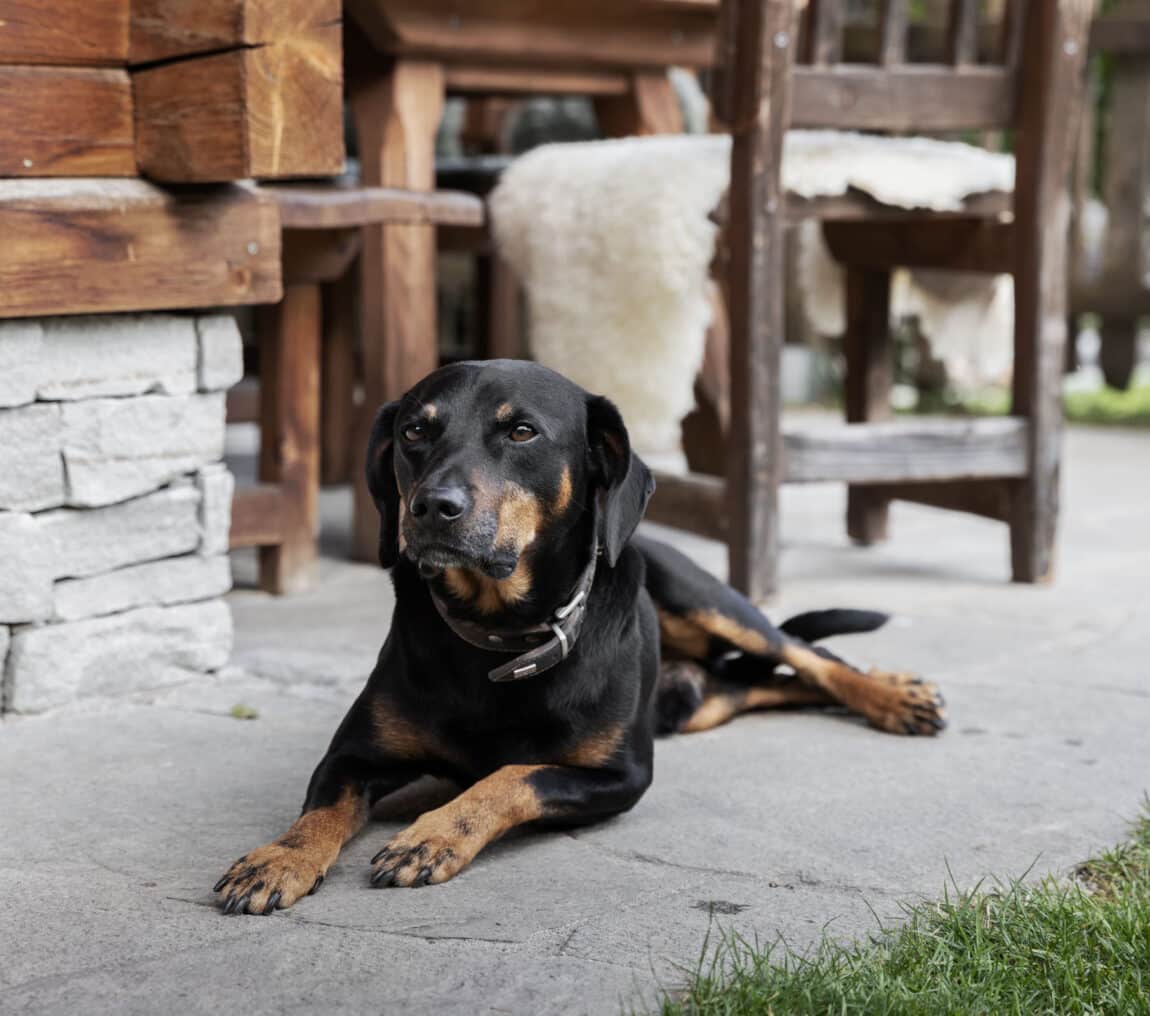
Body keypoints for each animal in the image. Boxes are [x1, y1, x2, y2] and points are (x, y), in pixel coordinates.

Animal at [213, 361, 943, 915]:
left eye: (522, 431)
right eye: (415, 431)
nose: (431, 508)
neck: (502, 639)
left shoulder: (622, 775)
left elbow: (511, 776)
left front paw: (434, 835)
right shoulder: (353, 755)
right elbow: (320, 810)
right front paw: (279, 859)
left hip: (706, 599)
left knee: (806, 654)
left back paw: (894, 695)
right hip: (702, 702)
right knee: (769, 684)